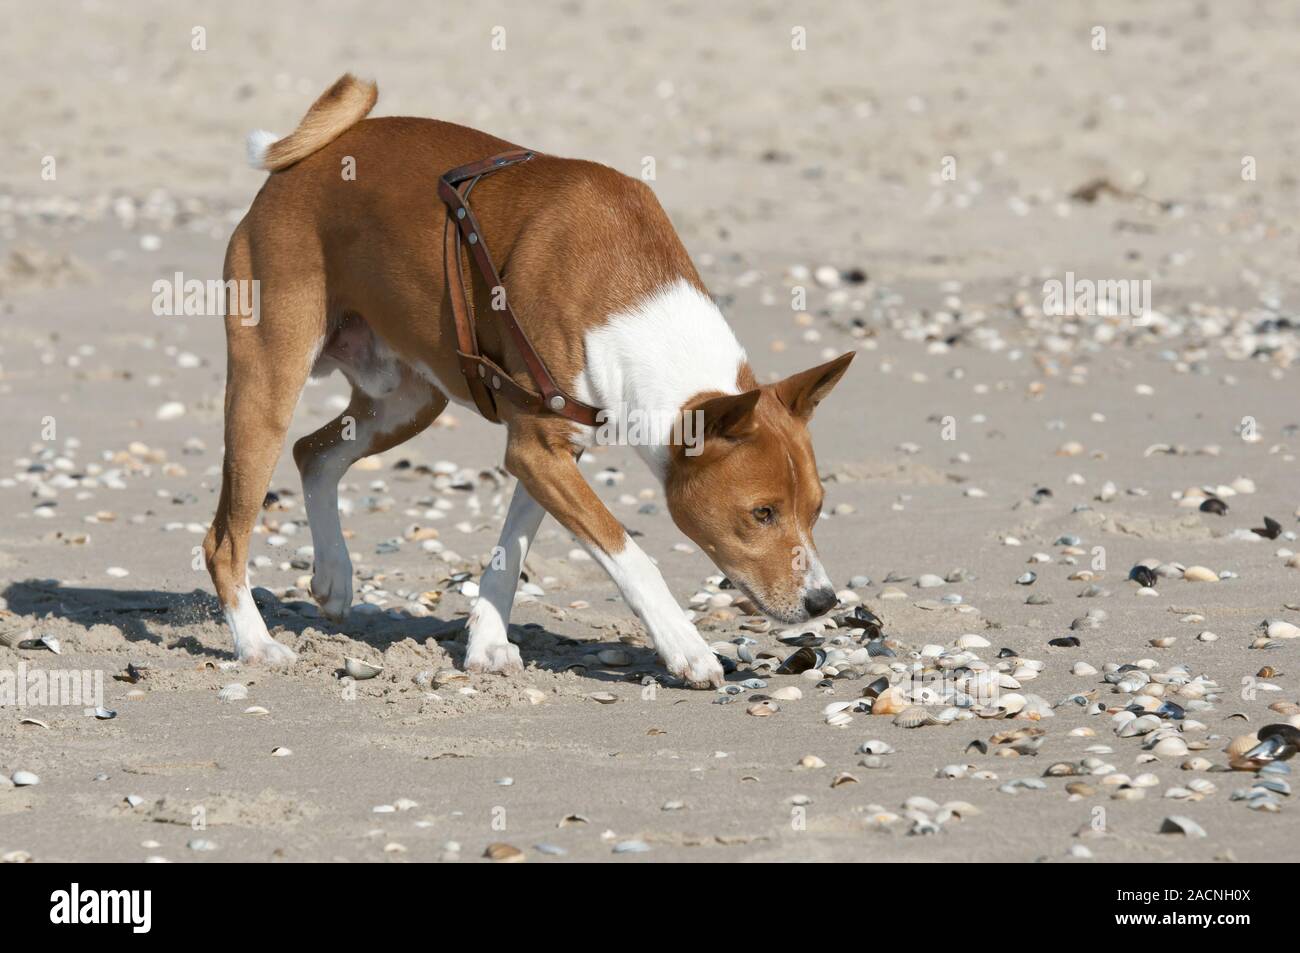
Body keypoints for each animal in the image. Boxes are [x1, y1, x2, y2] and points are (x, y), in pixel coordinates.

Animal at [202, 74, 852, 686]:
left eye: (818, 509)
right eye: (762, 513)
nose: (824, 602)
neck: (629, 298)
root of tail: (300, 165)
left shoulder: (550, 449)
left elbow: (509, 553)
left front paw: (487, 645)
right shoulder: (538, 447)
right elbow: (630, 556)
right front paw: (686, 649)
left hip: (408, 400)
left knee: (313, 453)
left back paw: (334, 576)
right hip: (269, 383)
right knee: (225, 540)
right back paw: (255, 644)